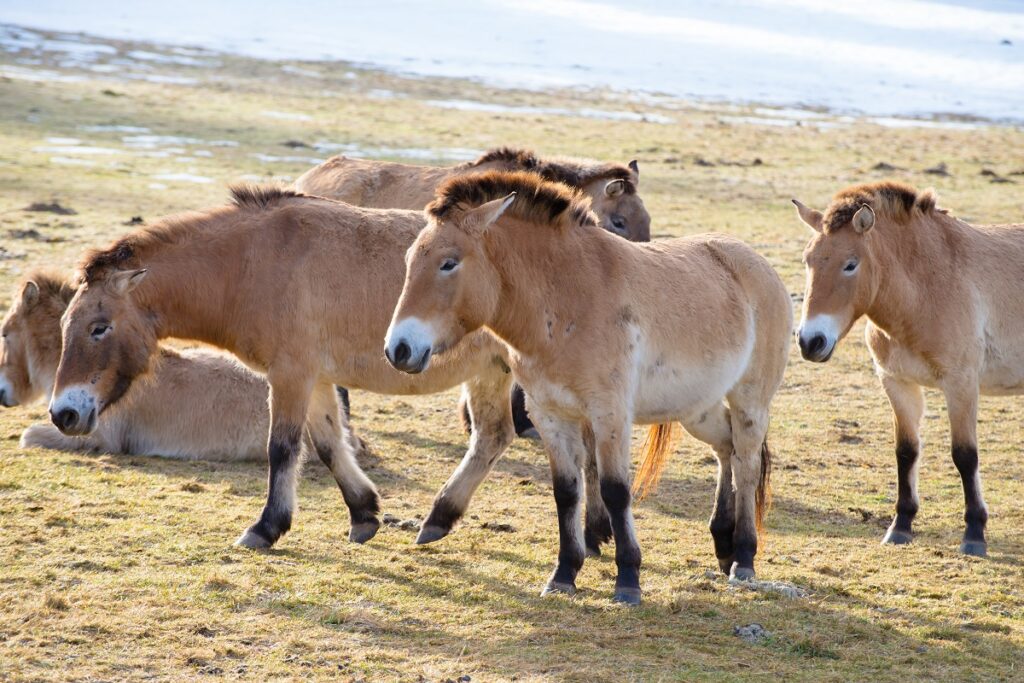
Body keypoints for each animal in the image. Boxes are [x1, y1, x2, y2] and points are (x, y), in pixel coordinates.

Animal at [46, 184, 606, 552]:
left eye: (98, 327)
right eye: (65, 325)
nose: (63, 414)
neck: (252, 261)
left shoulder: (290, 374)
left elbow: (283, 448)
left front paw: (265, 528)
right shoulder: (314, 378)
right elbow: (329, 443)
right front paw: (364, 514)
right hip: (493, 373)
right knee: (493, 437)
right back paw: (441, 519)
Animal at [385, 172, 790, 602]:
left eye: (449, 263)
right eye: (410, 261)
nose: (399, 349)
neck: (567, 301)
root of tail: (758, 264)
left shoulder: (609, 414)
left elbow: (615, 490)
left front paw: (627, 579)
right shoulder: (549, 414)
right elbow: (566, 491)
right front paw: (564, 573)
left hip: (750, 401)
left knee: (747, 464)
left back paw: (743, 557)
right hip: (698, 408)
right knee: (726, 448)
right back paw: (723, 545)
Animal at [794, 180, 1024, 557]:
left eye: (850, 264)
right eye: (808, 261)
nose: (810, 342)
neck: (927, 289)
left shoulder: (961, 384)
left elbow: (965, 455)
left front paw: (974, 534)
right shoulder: (897, 383)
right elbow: (906, 451)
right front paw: (900, 526)